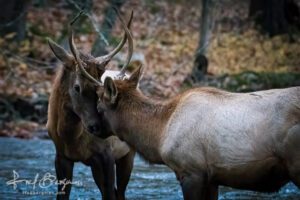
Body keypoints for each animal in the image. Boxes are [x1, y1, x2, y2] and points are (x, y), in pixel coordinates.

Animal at [46, 11, 135, 200]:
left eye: (100, 89)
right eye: (77, 87)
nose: (97, 126)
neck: (70, 138)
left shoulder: (107, 154)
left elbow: (110, 194)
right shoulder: (61, 156)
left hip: (127, 153)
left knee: (120, 193)